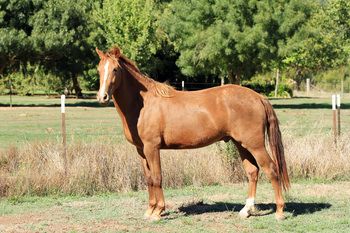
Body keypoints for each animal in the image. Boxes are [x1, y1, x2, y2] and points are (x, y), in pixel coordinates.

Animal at [95, 46, 290, 220]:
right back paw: (246, 210)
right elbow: (149, 179)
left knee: (271, 169)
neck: (143, 104)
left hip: (255, 145)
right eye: (99, 69)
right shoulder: (141, 150)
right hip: (241, 144)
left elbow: (157, 177)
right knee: (252, 172)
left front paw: (158, 212)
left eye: (115, 69)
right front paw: (149, 210)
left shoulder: (152, 147)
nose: (102, 97)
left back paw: (279, 211)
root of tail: (259, 97)